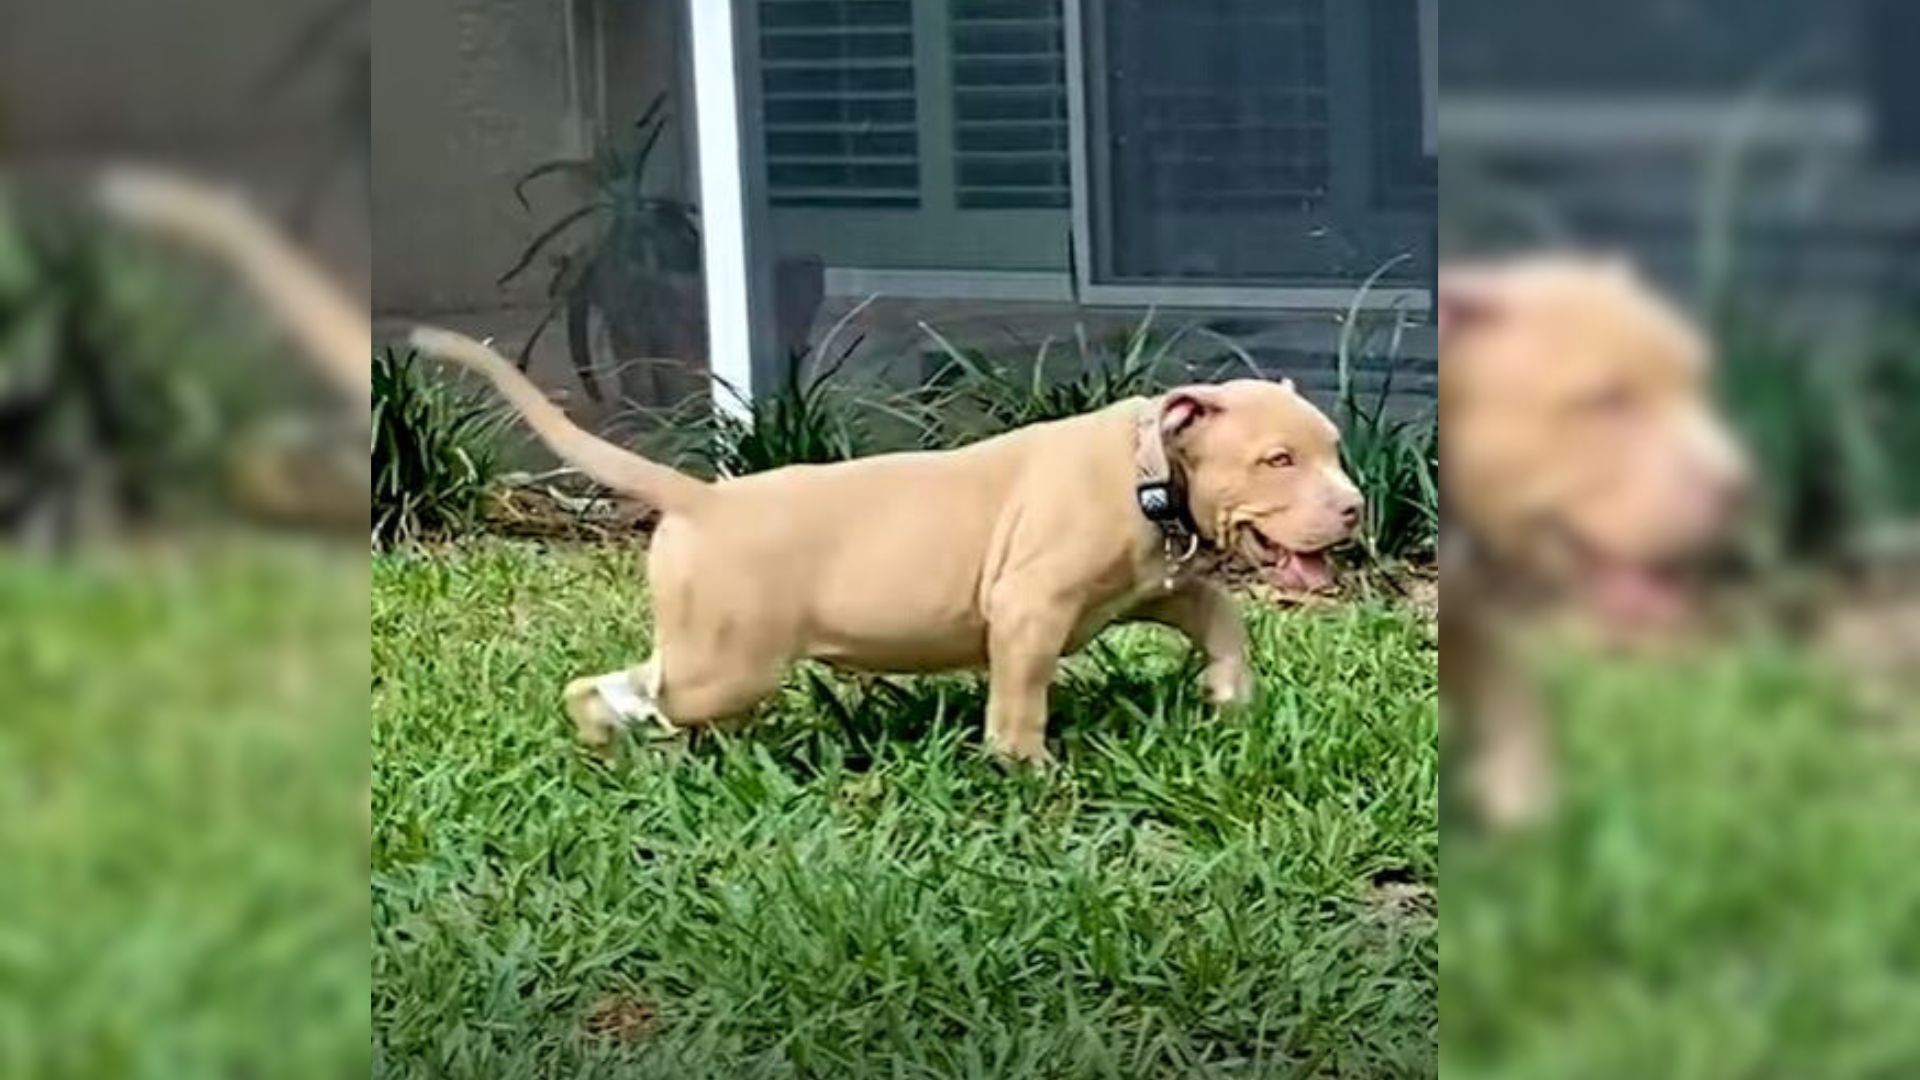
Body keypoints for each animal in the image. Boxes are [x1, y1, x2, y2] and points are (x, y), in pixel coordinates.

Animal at [410, 328, 1359, 757]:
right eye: (1278, 459)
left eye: (1336, 450)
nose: (1354, 510)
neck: (1149, 467)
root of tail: (701, 500)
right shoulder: (1029, 607)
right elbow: (1021, 696)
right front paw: (1026, 769)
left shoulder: (1156, 583)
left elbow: (1218, 608)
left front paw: (1230, 696)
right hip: (730, 659)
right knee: (632, 689)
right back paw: (620, 736)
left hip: (712, 651)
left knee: (635, 687)